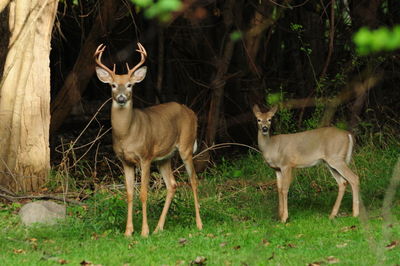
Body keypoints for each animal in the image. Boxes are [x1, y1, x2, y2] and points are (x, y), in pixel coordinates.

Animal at [94, 43, 203, 237]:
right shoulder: (125, 161)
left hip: (186, 146)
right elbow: (130, 193)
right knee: (172, 184)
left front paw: (144, 231)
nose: (121, 98)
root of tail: (191, 112)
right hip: (164, 157)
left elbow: (143, 193)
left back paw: (199, 224)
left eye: (129, 85)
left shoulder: (145, 157)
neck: (127, 134)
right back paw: (159, 228)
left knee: (193, 180)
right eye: (113, 85)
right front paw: (128, 231)